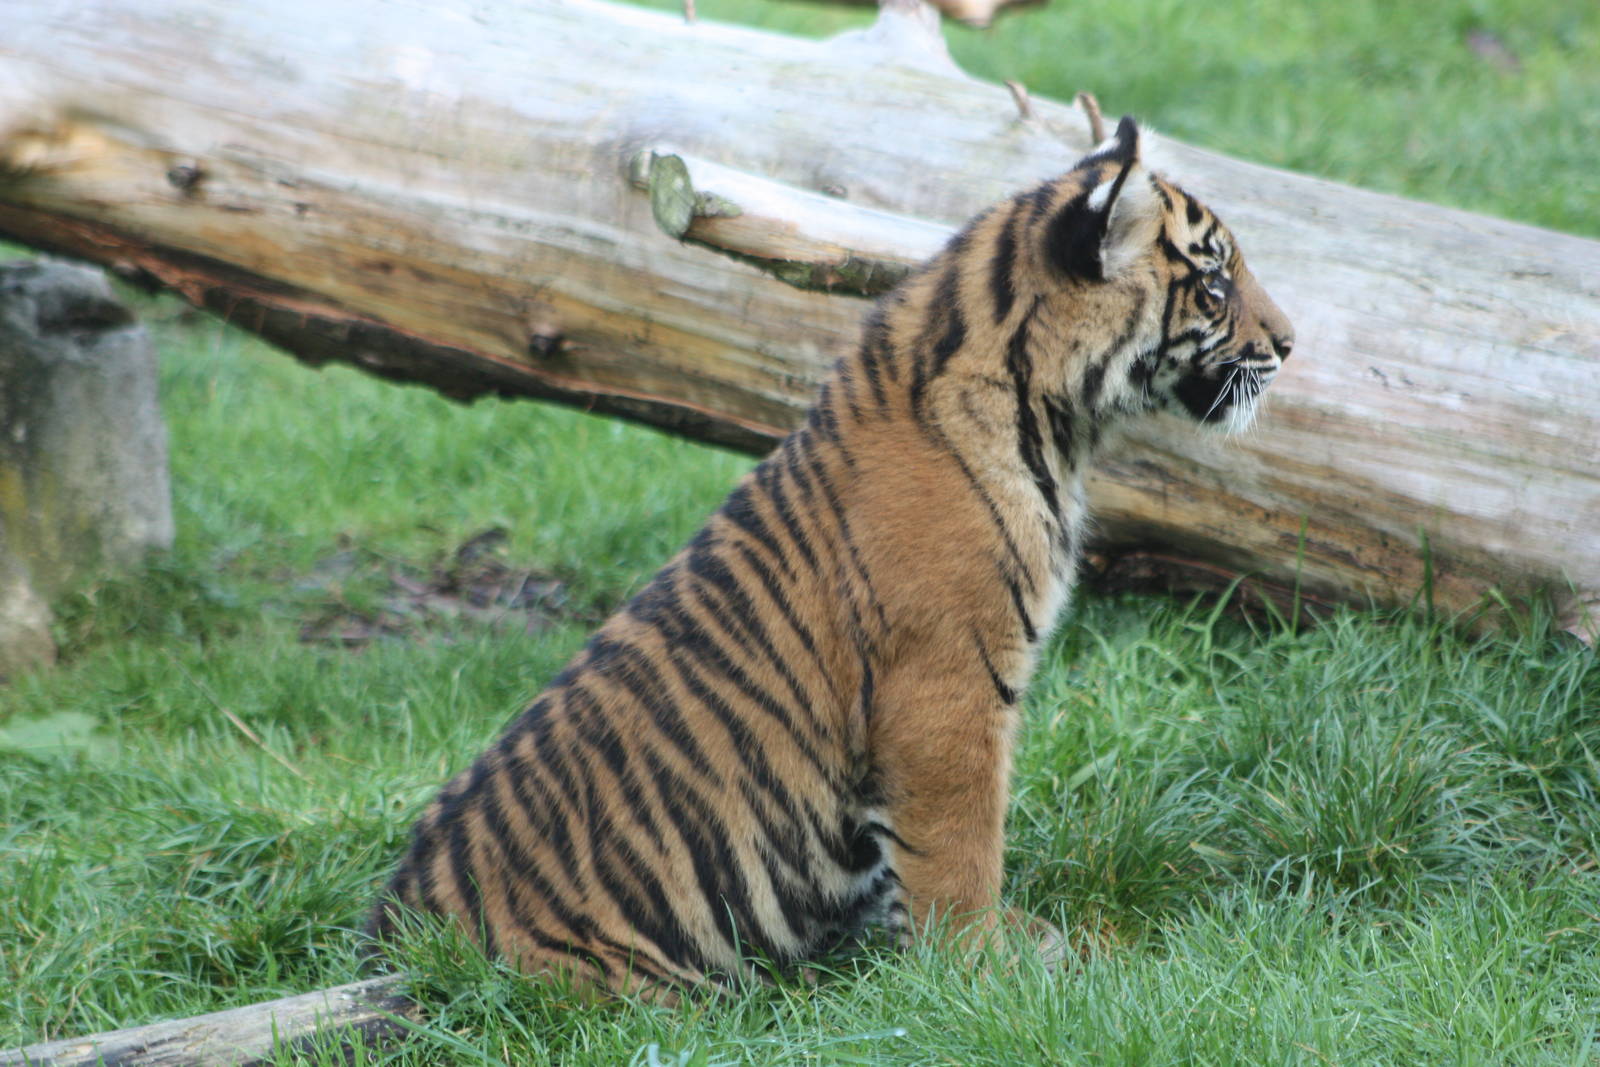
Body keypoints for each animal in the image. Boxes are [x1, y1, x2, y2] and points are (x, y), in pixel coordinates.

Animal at [367, 115, 1294, 997]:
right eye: (1215, 282)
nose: (1288, 345)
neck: (1055, 421)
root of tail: (394, 944)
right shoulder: (946, 685)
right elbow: (961, 845)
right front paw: (981, 974)